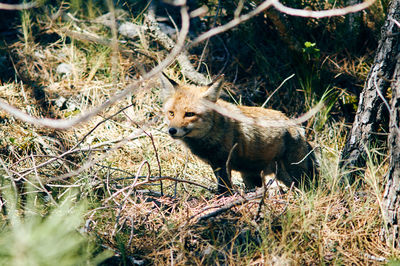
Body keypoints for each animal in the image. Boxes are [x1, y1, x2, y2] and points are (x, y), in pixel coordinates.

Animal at [160, 74, 318, 194]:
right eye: (171, 113)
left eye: (189, 114)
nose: (172, 130)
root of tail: (298, 127)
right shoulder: (216, 164)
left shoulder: (224, 162)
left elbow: (224, 188)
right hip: (252, 176)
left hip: (292, 172)